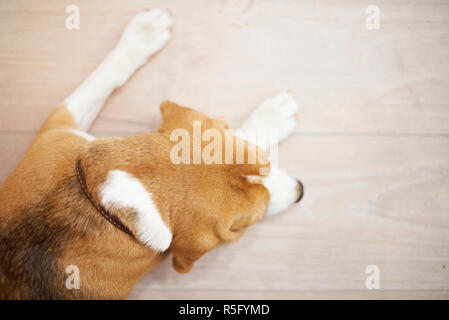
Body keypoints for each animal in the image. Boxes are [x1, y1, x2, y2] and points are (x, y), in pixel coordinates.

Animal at [0, 10, 302, 300]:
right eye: (243, 226)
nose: (301, 190)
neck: (105, 201)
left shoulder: (59, 128)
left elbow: (106, 75)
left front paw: (143, 34)